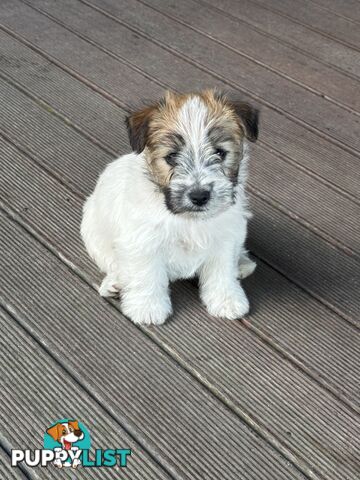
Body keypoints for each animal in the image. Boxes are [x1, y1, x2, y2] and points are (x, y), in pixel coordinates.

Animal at [81, 89, 258, 326]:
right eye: (172, 157)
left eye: (220, 153)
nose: (199, 196)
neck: (188, 220)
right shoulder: (142, 241)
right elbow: (146, 274)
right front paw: (147, 308)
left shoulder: (225, 238)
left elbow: (222, 272)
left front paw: (227, 300)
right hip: (93, 233)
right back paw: (115, 283)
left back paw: (242, 264)